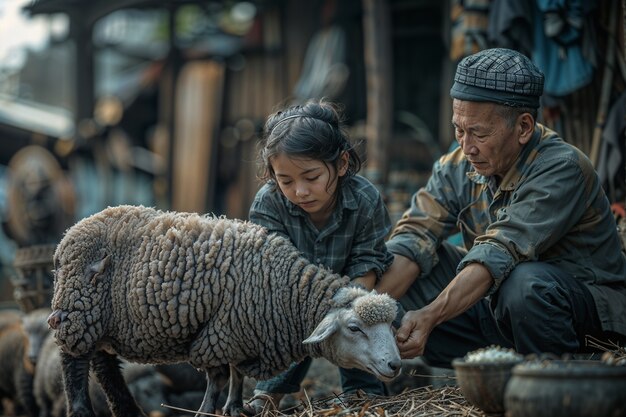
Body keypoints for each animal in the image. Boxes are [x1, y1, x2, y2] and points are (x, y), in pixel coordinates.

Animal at [47, 206, 400, 416]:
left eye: (392, 327)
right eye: (354, 327)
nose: (395, 364)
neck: (288, 291)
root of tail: (70, 233)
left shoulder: (237, 335)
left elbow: (235, 374)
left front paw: (234, 407)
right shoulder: (220, 332)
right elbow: (218, 378)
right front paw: (206, 410)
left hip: (100, 320)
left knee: (103, 364)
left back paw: (127, 409)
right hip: (77, 310)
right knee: (73, 361)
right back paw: (80, 409)